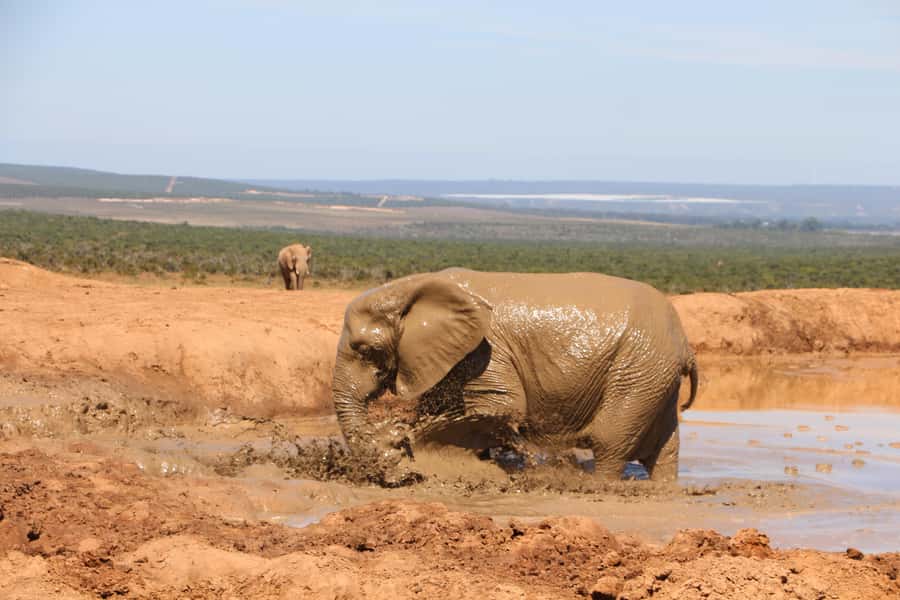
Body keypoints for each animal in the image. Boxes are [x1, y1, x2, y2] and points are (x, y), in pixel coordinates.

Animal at [331, 268, 698, 482]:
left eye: (364, 349)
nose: (383, 460)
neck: (412, 288)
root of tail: (684, 345)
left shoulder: (485, 349)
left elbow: (503, 407)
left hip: (638, 369)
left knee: (609, 442)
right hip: (653, 375)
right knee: (663, 451)